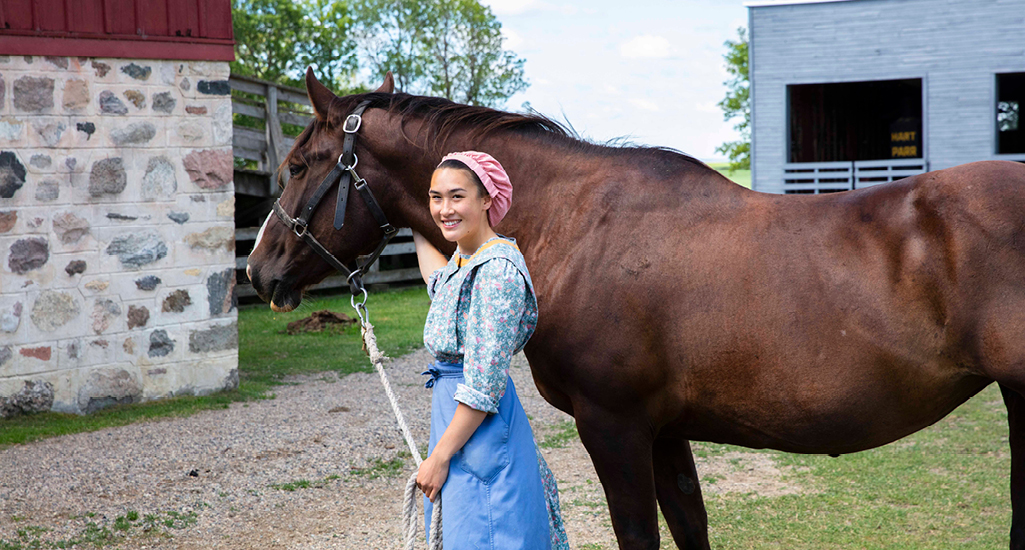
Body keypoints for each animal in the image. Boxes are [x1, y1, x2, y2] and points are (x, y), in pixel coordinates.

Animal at [246, 69, 1025, 548]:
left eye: (297, 165)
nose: (259, 270)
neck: (575, 225)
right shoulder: (664, 431)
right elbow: (689, 525)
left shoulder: (613, 427)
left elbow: (639, 534)